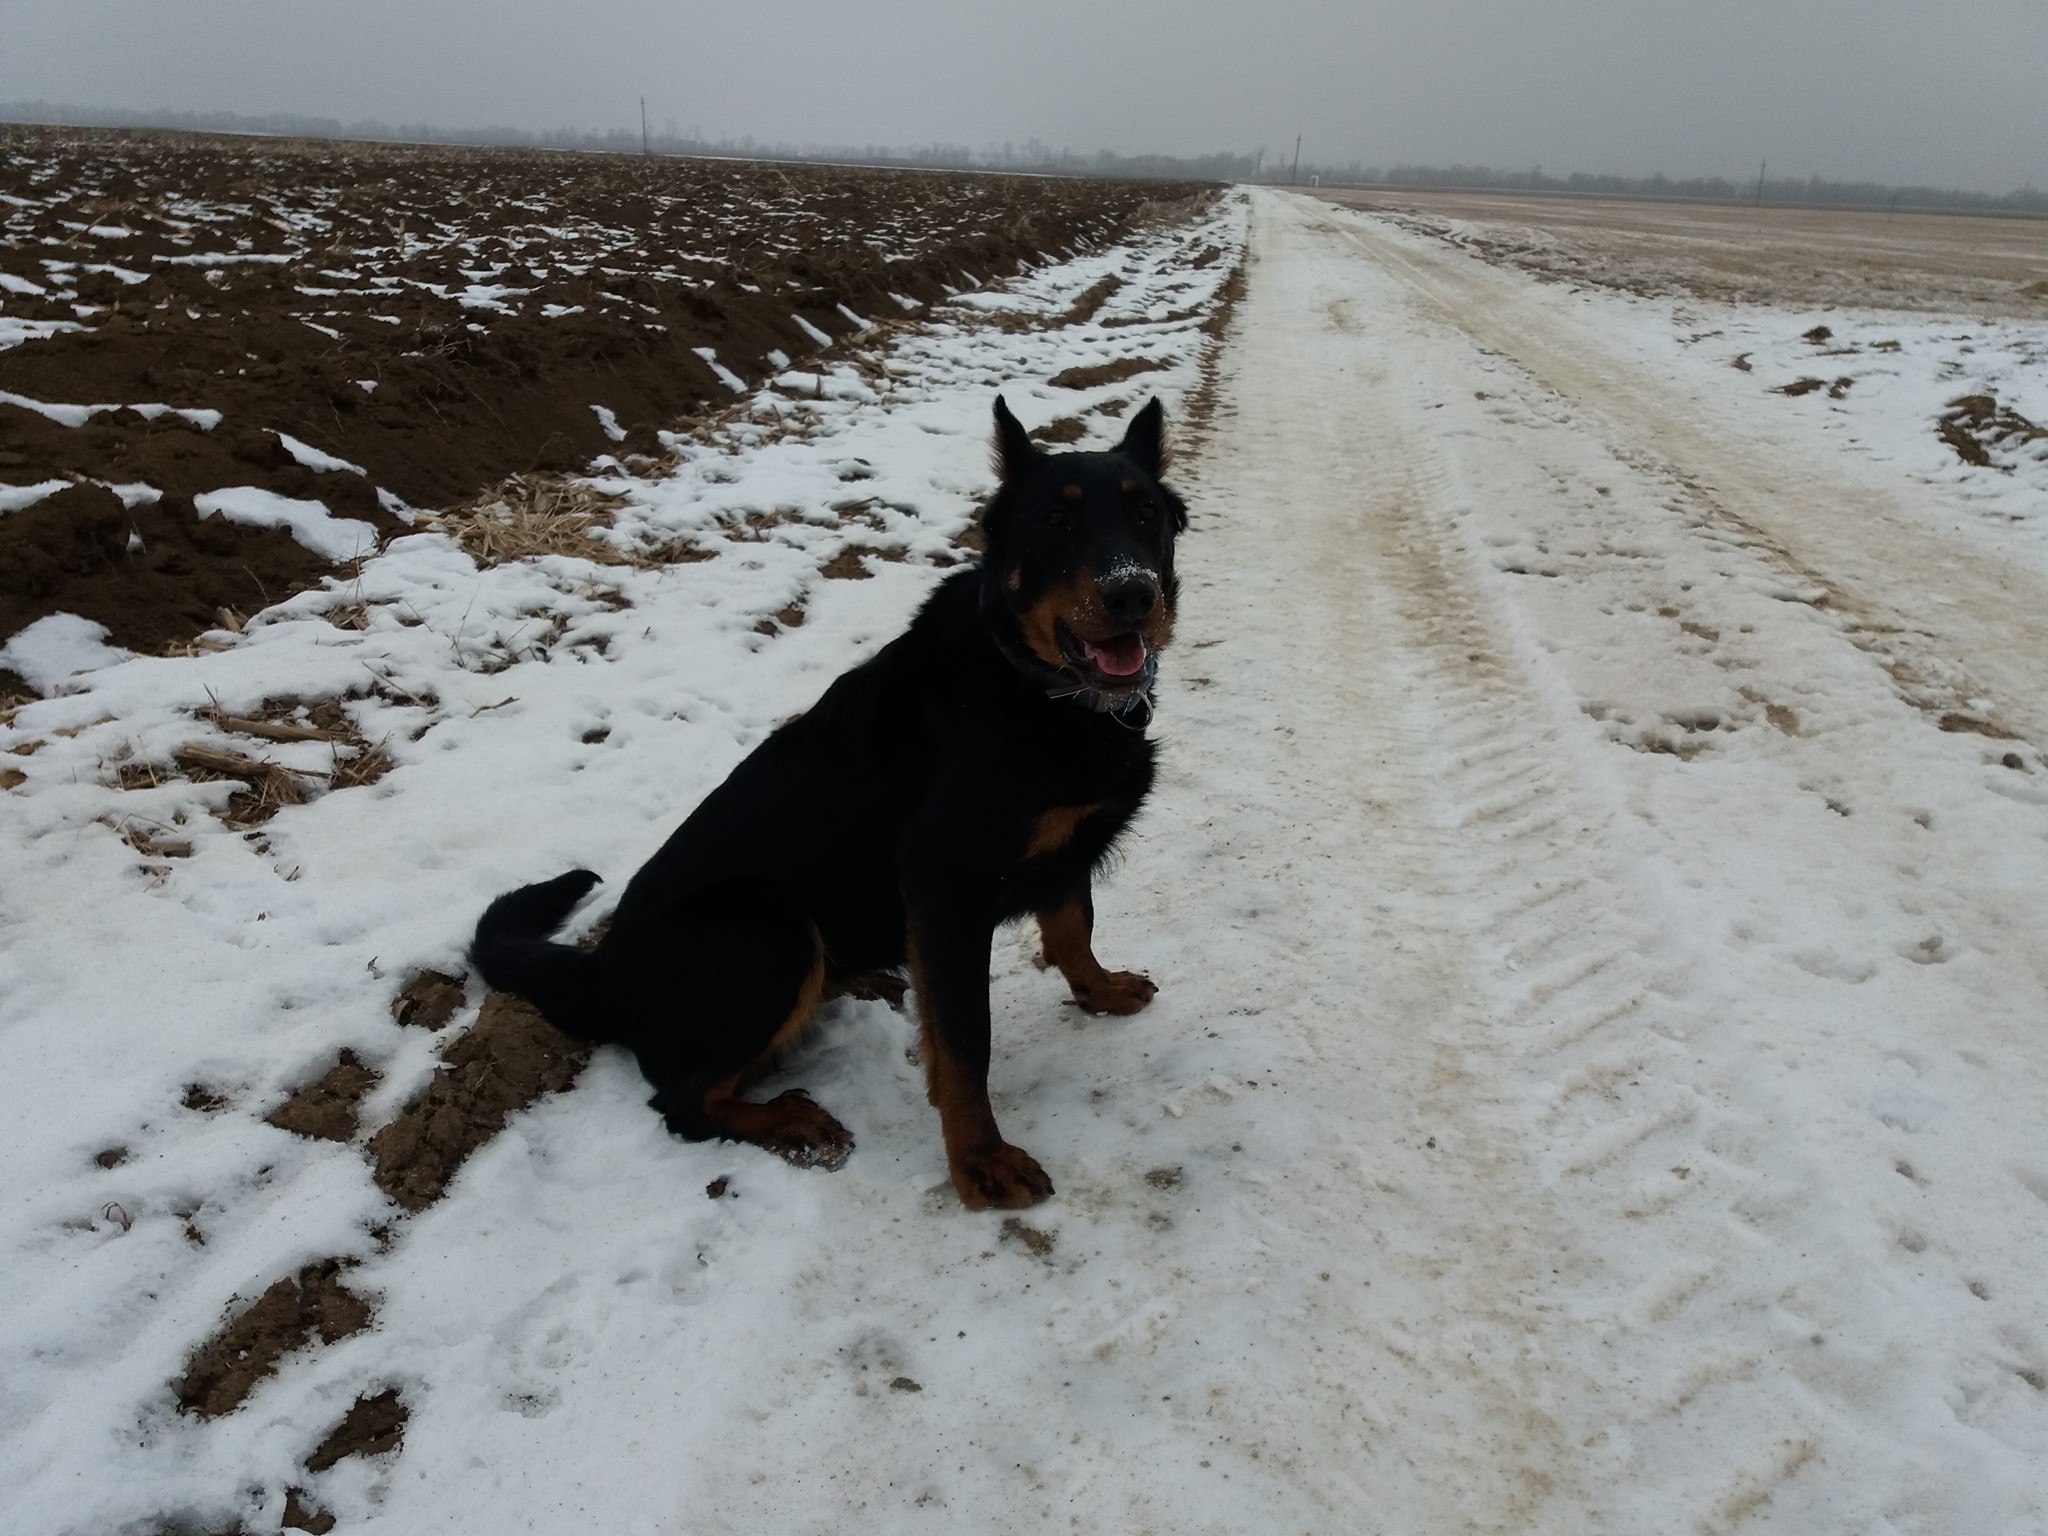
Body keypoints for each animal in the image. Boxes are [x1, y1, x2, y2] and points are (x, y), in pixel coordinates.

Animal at [473, 397, 1187, 1212]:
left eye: (1147, 515)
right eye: (1056, 520)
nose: (1133, 594)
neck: (1036, 687)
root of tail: (605, 974)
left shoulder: (1063, 850)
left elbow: (1073, 927)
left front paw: (1099, 989)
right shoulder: (946, 885)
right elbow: (965, 1041)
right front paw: (979, 1162)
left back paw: (861, 979)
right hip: (765, 923)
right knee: (682, 1103)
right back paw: (789, 1119)